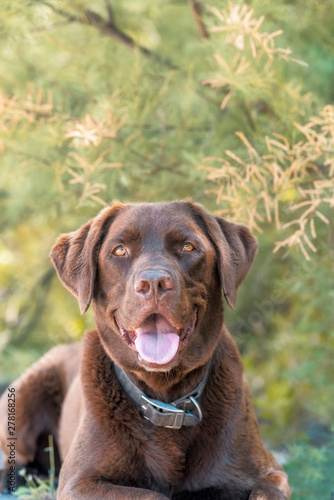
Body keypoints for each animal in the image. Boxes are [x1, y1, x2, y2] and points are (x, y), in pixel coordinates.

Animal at [0, 201, 290, 498]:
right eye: (119, 250)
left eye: (188, 247)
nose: (153, 283)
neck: (165, 399)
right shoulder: (78, 482)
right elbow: (151, 494)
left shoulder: (269, 471)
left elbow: (266, 490)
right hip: (26, 396)